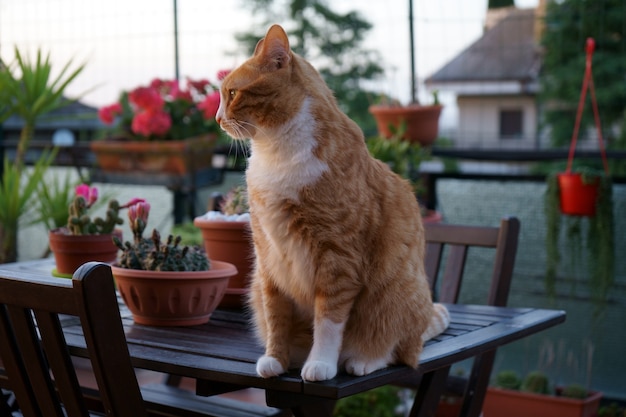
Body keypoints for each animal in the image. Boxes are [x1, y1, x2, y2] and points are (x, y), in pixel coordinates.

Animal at [216, 22, 448, 380]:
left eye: (231, 94)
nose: (216, 118)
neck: (277, 152)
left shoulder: (338, 258)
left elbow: (328, 321)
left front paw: (320, 363)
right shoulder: (268, 259)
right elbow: (275, 316)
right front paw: (276, 358)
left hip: (397, 296)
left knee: (399, 349)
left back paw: (363, 360)